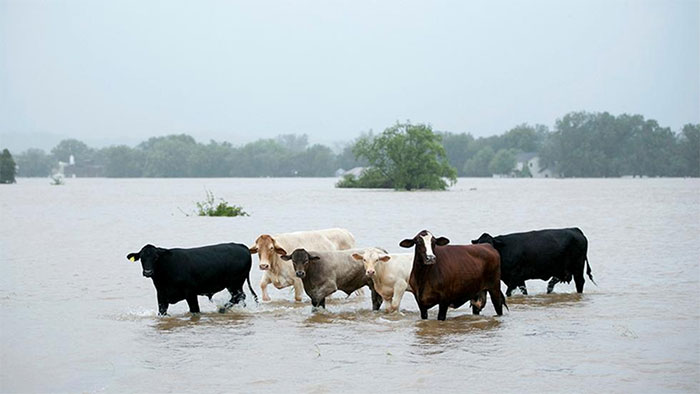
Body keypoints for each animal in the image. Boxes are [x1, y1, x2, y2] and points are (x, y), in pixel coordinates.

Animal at [126, 242, 258, 316]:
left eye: (156, 257)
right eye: (142, 258)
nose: (148, 272)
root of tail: (241, 246)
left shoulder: (191, 293)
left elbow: (195, 310)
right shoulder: (161, 295)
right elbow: (162, 312)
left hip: (235, 282)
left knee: (239, 297)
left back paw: (221, 309)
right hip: (235, 284)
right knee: (240, 298)